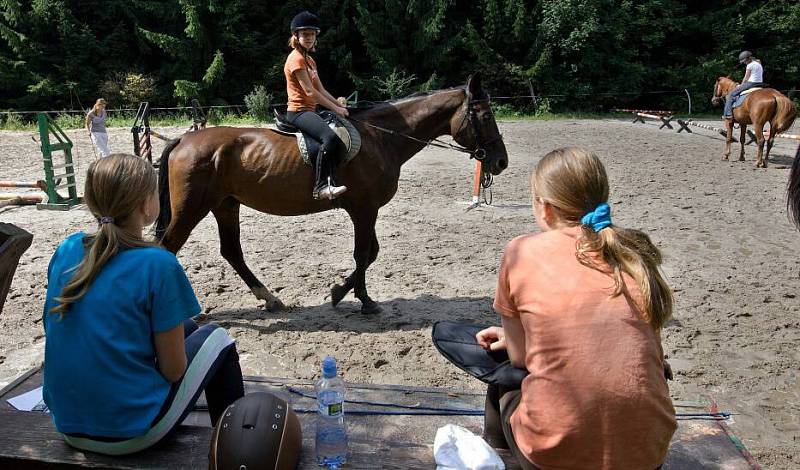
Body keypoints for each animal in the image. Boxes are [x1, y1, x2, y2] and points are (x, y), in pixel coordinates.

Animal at [155, 75, 506, 314]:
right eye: (486, 116)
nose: (501, 161)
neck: (381, 138)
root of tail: (183, 140)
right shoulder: (365, 208)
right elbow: (363, 253)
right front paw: (363, 301)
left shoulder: (365, 209)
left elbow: (371, 253)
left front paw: (340, 293)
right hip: (192, 208)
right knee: (168, 247)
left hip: (225, 205)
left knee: (231, 252)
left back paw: (270, 299)